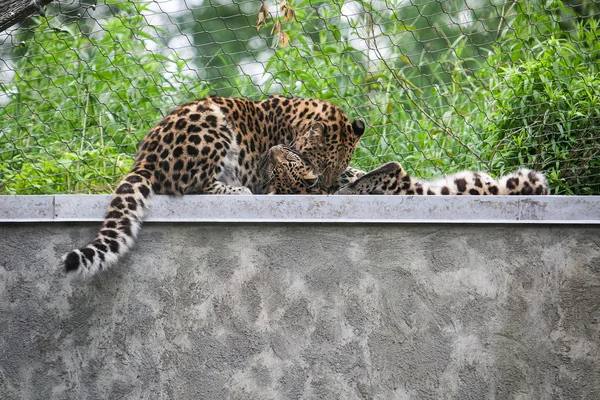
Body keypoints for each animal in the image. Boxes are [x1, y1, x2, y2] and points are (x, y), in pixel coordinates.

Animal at [64, 95, 366, 276]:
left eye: (333, 166)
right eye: (322, 163)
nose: (324, 187)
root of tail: (143, 162)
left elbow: (351, 172)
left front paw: (356, 174)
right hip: (212, 123)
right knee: (192, 184)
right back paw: (236, 189)